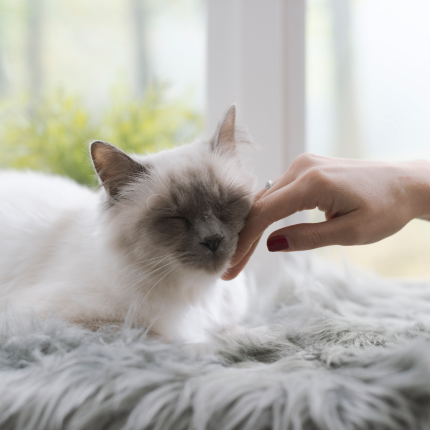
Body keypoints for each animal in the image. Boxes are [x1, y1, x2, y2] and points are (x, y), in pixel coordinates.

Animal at [0, 106, 255, 342]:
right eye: (176, 217)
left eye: (224, 205)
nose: (213, 239)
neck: (198, 294)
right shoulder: (65, 323)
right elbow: (172, 340)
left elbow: (233, 331)